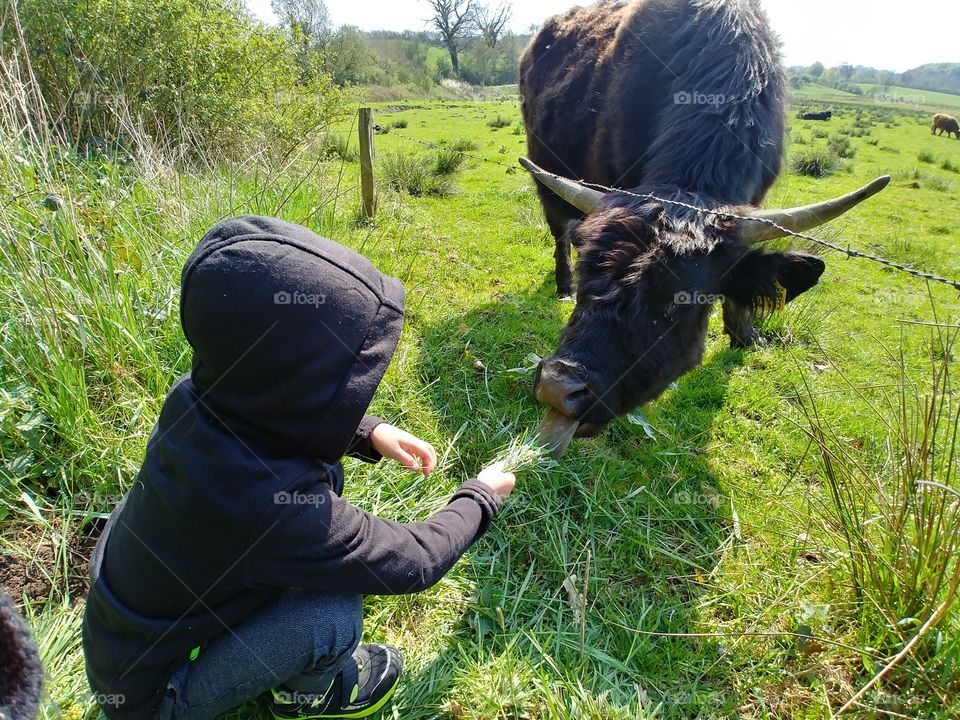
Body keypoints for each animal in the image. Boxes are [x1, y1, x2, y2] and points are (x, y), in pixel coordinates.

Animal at [518, 0, 890, 454]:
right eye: (591, 279)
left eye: (680, 301)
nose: (559, 388)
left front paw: (744, 335)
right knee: (559, 231)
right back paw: (561, 284)